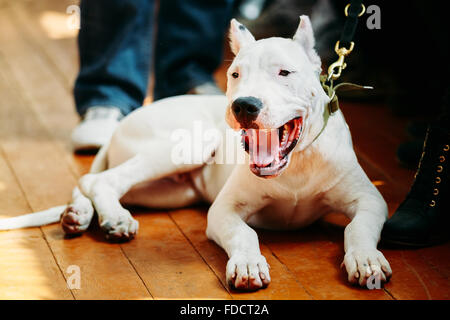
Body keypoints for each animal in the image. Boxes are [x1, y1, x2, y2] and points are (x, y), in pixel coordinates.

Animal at [0, 16, 390, 292]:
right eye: (235, 74)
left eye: (284, 72)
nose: (243, 105)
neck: (296, 165)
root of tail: (118, 128)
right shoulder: (224, 210)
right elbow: (244, 234)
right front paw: (248, 264)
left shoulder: (370, 200)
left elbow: (358, 227)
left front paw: (367, 260)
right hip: (185, 145)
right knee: (100, 180)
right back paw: (114, 218)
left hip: (170, 191)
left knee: (91, 182)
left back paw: (77, 214)